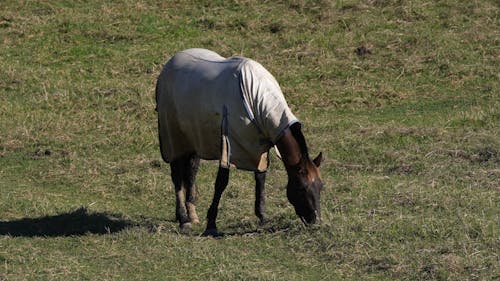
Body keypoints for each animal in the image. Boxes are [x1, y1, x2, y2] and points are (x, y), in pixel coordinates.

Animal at [154, 48, 322, 234]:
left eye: (320, 186)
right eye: (300, 187)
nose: (315, 220)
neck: (255, 97)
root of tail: (170, 64)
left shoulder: (259, 146)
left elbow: (260, 177)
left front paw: (263, 216)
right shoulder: (228, 144)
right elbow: (221, 182)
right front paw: (211, 224)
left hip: (194, 142)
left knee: (191, 173)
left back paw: (192, 214)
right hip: (173, 139)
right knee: (177, 176)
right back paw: (184, 219)